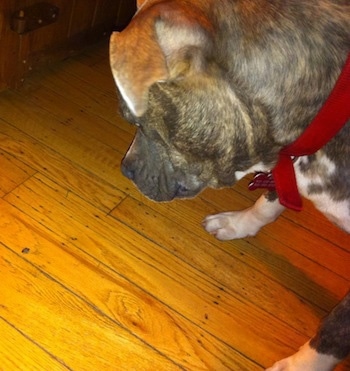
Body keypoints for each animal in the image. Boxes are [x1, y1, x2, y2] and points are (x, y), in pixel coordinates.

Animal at [109, 1, 350, 370]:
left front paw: (300, 365)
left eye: (138, 122)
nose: (126, 168)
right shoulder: (287, 163)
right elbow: (270, 198)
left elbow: (336, 330)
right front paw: (239, 223)